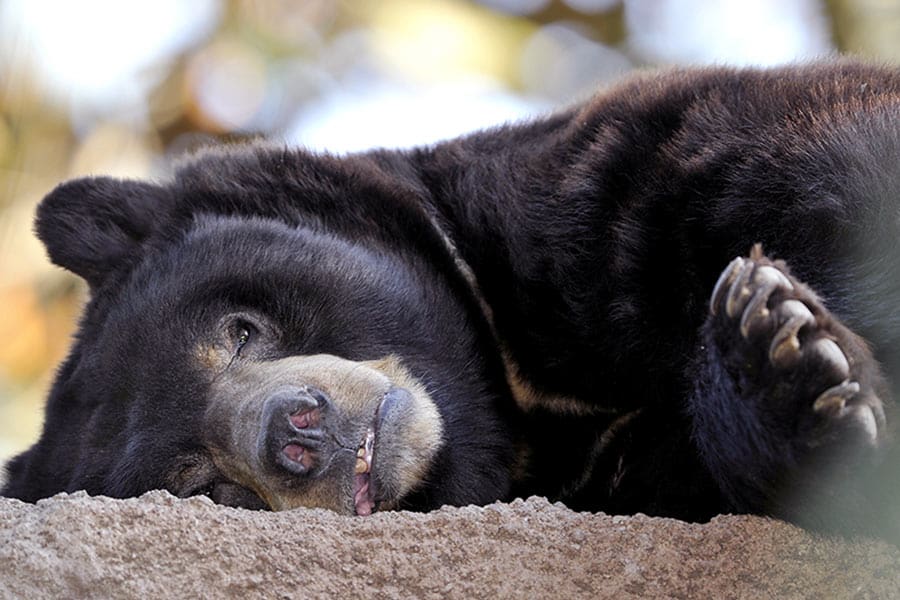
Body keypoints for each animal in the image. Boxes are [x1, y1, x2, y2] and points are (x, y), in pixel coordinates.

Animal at [1, 58, 900, 540]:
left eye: (239, 330)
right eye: (201, 482)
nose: (298, 434)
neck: (516, 401)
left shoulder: (610, 187)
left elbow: (834, 167)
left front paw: (781, 344)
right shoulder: (617, 475)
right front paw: (796, 374)